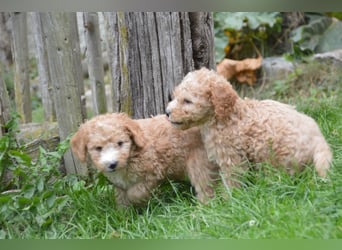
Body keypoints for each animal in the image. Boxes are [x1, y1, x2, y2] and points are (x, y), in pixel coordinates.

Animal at [70, 113, 218, 207]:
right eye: (98, 148)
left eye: (120, 143)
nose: (112, 164)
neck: (132, 154)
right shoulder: (120, 185)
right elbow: (121, 199)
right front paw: (123, 217)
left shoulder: (152, 174)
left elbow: (135, 193)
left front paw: (139, 203)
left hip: (198, 163)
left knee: (205, 186)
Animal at [166, 67, 332, 187]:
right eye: (175, 97)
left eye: (187, 101)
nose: (167, 112)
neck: (224, 117)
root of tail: (319, 141)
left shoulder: (231, 157)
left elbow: (232, 180)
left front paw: (229, 201)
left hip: (279, 155)